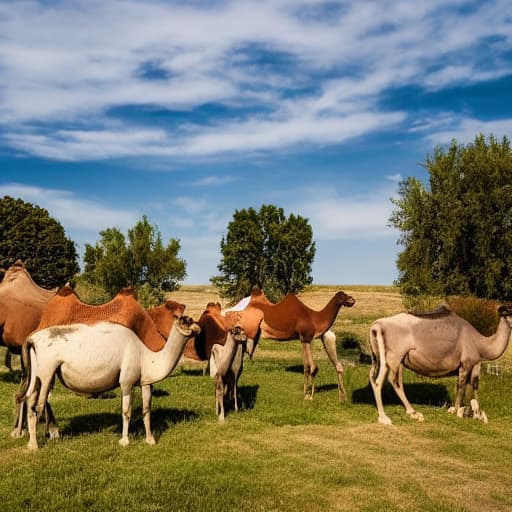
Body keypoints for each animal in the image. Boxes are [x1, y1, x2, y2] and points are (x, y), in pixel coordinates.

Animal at [16, 314, 200, 450]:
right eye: (185, 320)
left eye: (191, 319)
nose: (197, 327)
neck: (146, 358)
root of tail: (31, 340)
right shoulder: (126, 381)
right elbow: (126, 411)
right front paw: (124, 441)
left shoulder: (146, 383)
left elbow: (146, 411)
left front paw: (150, 440)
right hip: (46, 371)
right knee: (37, 406)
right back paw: (34, 445)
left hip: (39, 374)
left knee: (29, 398)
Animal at [368, 304, 512, 424]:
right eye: (509, 311)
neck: (482, 345)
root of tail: (377, 326)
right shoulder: (467, 364)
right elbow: (461, 387)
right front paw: (458, 411)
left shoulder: (475, 364)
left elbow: (473, 386)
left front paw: (474, 413)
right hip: (395, 356)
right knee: (385, 380)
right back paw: (386, 417)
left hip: (385, 358)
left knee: (379, 378)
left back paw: (411, 412)